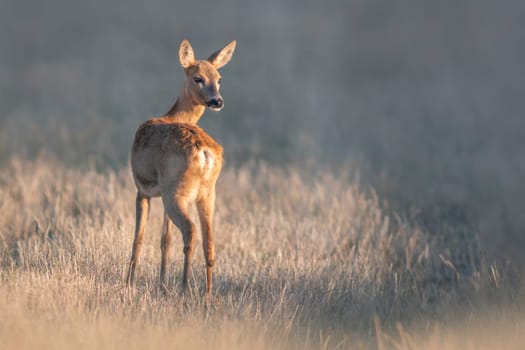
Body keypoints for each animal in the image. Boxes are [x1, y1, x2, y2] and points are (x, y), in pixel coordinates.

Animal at [125, 38, 235, 296]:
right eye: (198, 78)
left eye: (219, 79)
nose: (217, 101)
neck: (173, 116)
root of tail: (205, 154)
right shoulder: (162, 193)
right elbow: (165, 240)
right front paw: (162, 284)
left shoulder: (142, 189)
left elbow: (138, 238)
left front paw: (129, 284)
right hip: (205, 193)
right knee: (209, 241)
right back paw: (207, 294)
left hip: (176, 192)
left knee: (190, 230)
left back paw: (185, 288)